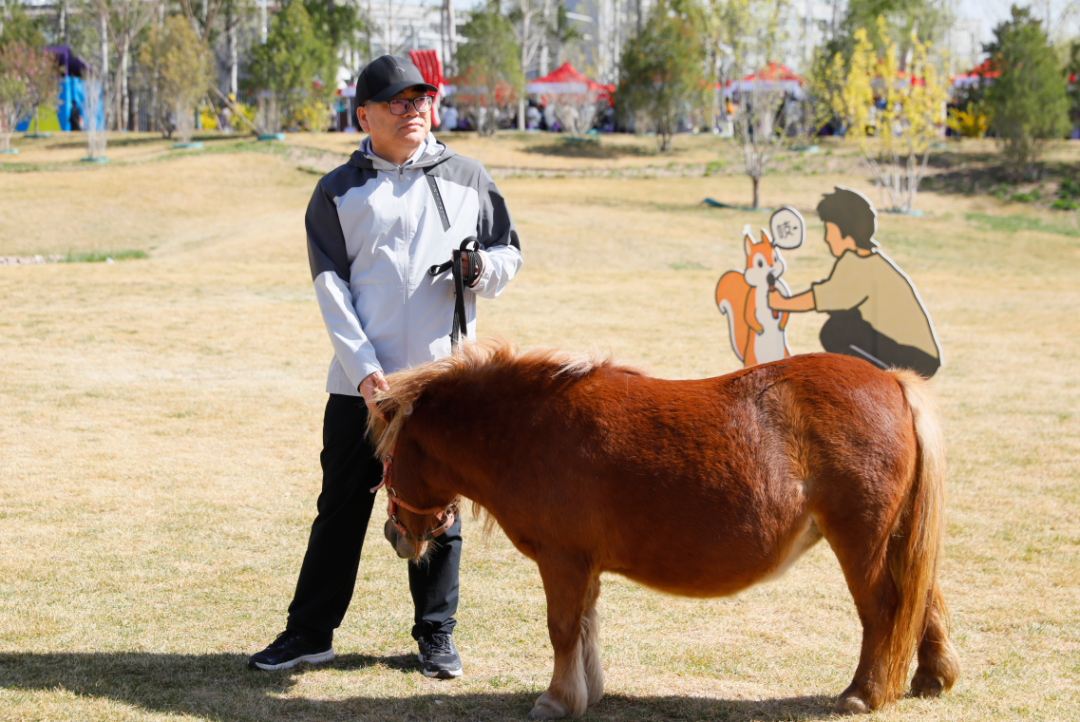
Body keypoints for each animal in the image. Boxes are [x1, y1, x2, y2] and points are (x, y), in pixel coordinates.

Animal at [367, 340, 960, 719]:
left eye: (388, 458)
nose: (396, 536)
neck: (527, 430)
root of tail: (891, 381)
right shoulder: (584, 566)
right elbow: (586, 626)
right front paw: (588, 692)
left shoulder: (562, 560)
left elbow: (562, 628)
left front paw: (556, 700)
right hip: (896, 536)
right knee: (924, 599)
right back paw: (932, 677)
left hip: (861, 539)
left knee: (884, 610)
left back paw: (864, 693)